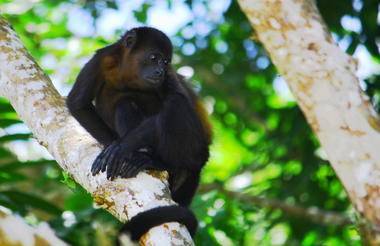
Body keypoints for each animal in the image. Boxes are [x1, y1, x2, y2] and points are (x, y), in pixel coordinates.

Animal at [67, 26, 212, 242]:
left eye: (166, 62)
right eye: (154, 58)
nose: (159, 71)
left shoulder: (169, 77)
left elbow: (174, 103)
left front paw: (121, 148)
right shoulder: (102, 58)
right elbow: (78, 103)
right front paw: (114, 148)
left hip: (193, 152)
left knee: (174, 104)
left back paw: (156, 162)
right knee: (125, 103)